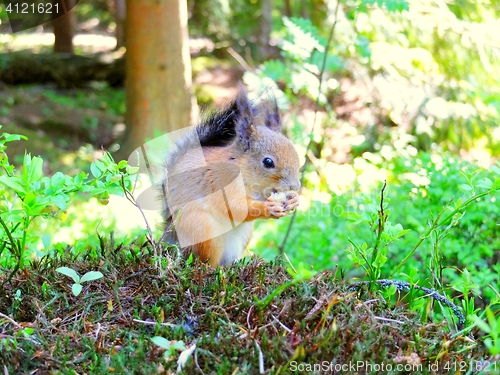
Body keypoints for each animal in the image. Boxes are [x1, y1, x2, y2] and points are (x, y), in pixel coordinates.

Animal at [161, 89, 300, 266]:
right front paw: (268, 208)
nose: (295, 186)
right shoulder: (222, 181)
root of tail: (172, 237)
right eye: (268, 162)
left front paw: (294, 200)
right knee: (204, 260)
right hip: (202, 229)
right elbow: (232, 206)